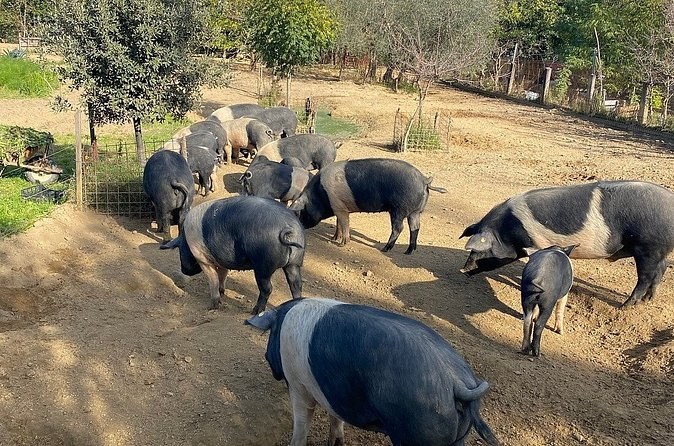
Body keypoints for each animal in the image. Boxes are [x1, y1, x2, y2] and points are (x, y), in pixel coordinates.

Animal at [160, 196, 305, 314]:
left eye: (179, 250)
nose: (183, 270)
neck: (186, 239)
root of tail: (287, 227)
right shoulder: (221, 260)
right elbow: (222, 275)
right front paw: (222, 292)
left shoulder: (202, 258)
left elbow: (213, 278)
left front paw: (213, 306)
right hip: (295, 262)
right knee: (295, 284)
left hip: (262, 265)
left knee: (267, 288)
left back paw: (255, 311)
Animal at [246, 298, 501, 446]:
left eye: (269, 337)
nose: (267, 359)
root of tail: (457, 381)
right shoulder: (335, 394)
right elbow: (336, 419)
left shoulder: (298, 386)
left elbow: (301, 424)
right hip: (458, 436)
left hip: (419, 431)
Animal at [290, 158, 447, 254]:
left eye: (300, 212)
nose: (299, 228)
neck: (320, 193)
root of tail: (424, 180)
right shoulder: (339, 207)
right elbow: (339, 223)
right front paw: (334, 238)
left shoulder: (340, 208)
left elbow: (344, 223)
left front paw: (341, 244)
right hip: (415, 211)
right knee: (415, 227)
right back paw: (409, 251)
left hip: (399, 209)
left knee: (399, 228)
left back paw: (385, 249)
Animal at [460, 181, 674, 308]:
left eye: (481, 250)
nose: (463, 270)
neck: (508, 229)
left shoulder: (537, 244)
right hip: (656, 251)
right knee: (660, 271)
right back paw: (648, 300)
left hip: (648, 247)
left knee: (646, 277)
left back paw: (625, 306)